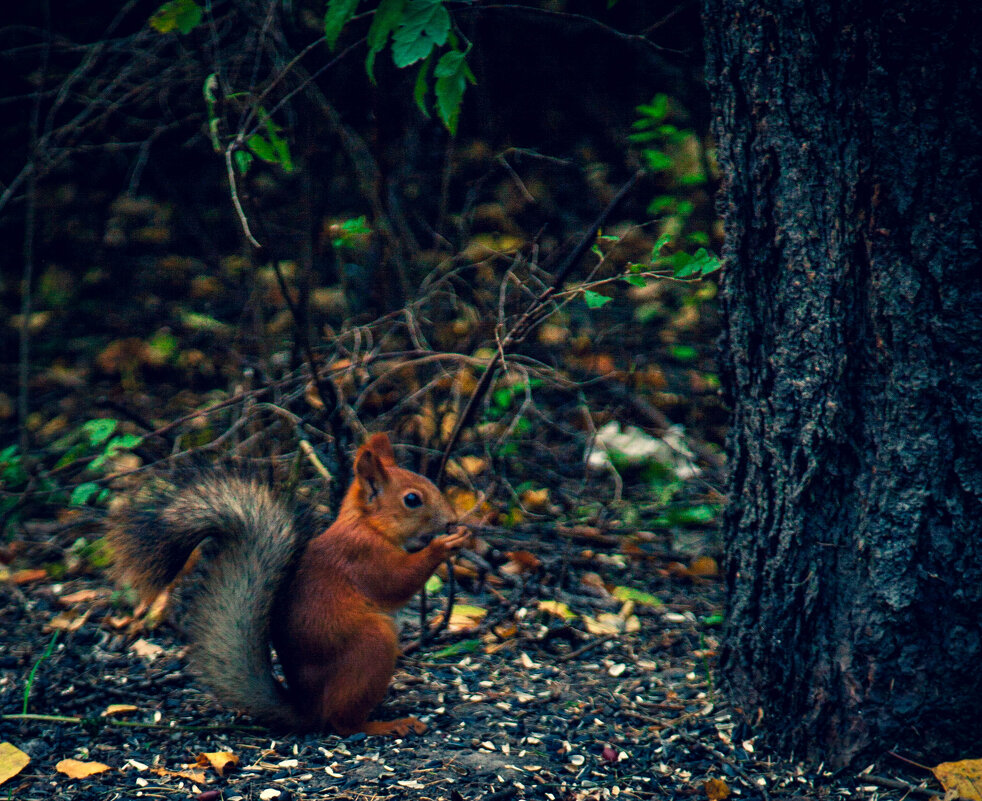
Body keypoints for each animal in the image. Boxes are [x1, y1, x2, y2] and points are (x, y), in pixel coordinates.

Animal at [109, 434, 470, 736]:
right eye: (412, 499)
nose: (452, 520)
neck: (367, 525)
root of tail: (309, 709)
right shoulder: (364, 557)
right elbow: (397, 582)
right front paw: (444, 545)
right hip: (372, 645)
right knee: (344, 724)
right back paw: (386, 724)